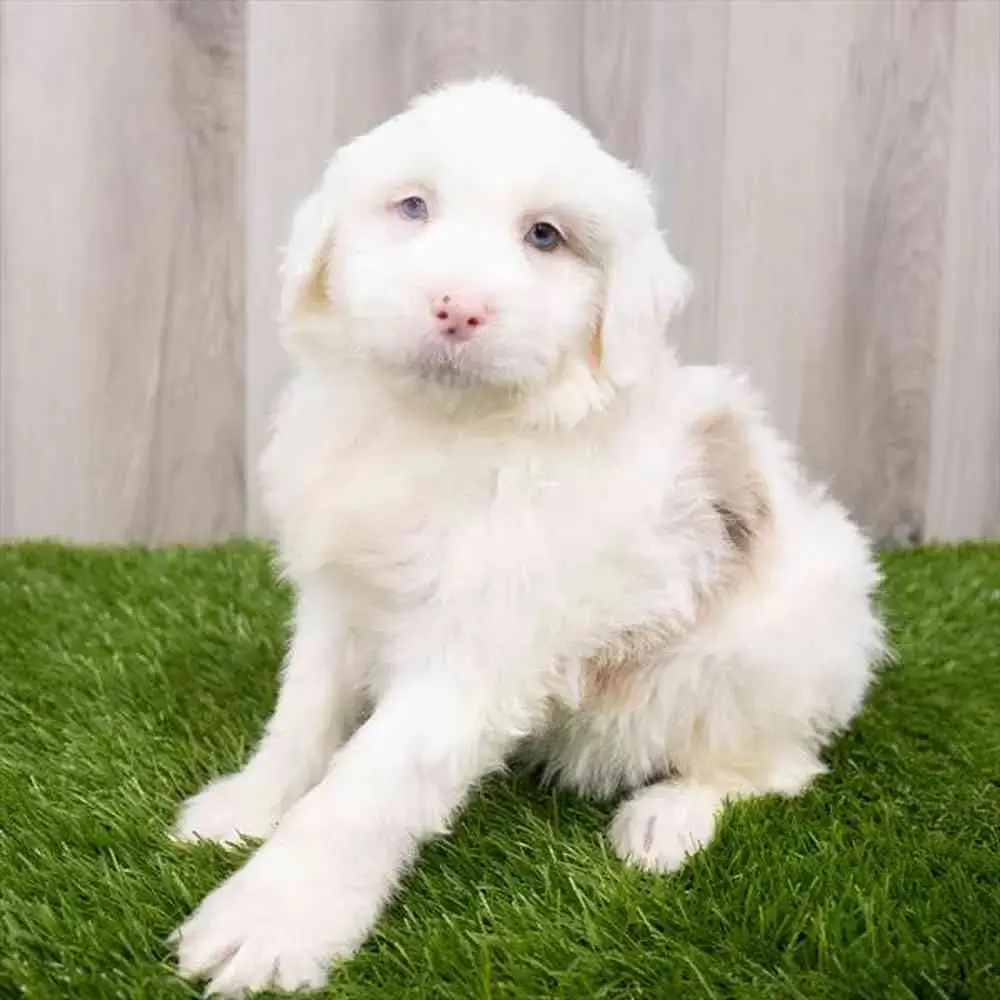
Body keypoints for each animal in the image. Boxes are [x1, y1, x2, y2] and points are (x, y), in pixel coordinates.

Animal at [170, 76, 884, 992]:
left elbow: (369, 781)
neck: (445, 430)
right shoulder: (338, 597)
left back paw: (668, 820)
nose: (459, 307)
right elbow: (305, 713)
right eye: (413, 206)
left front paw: (270, 919)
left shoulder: (478, 646)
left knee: (780, 767)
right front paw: (245, 808)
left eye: (545, 235)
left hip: (759, 656)